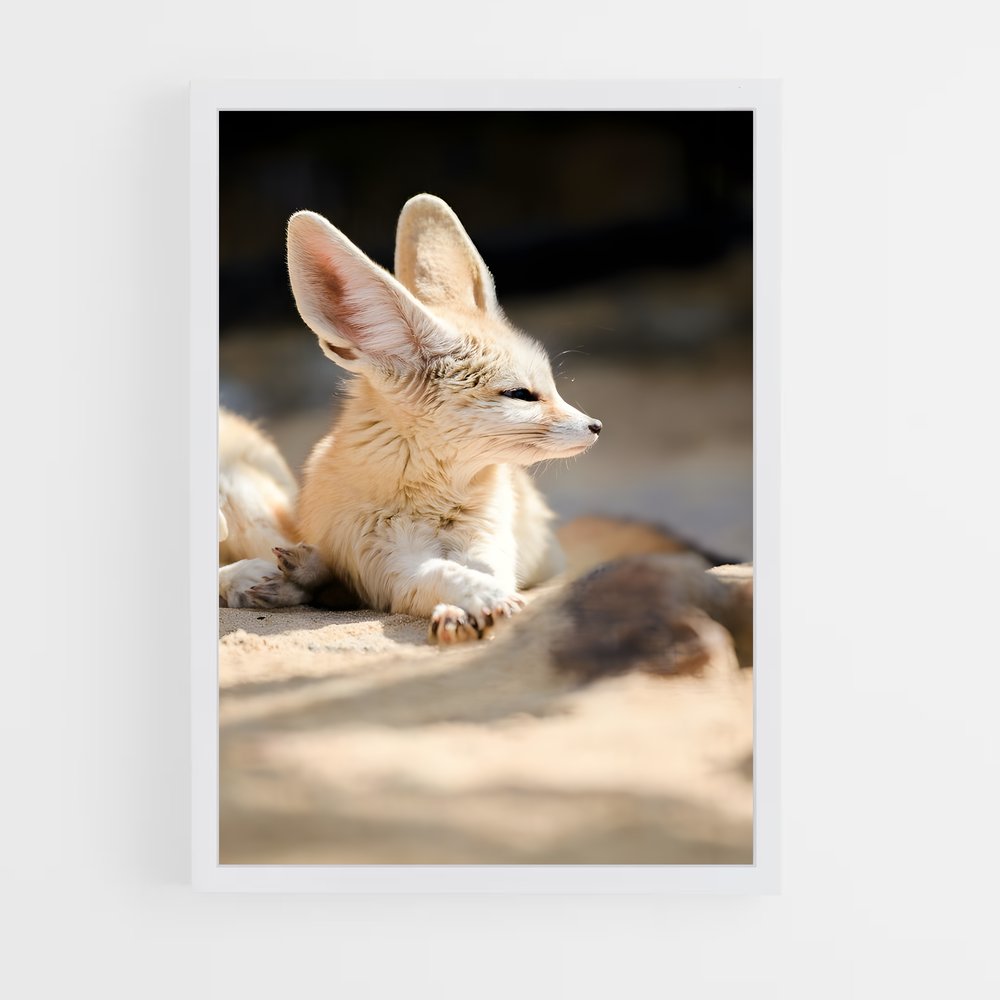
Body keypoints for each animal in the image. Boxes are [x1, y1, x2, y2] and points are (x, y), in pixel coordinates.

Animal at [219, 194, 602, 643]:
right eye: (521, 395)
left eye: (552, 387)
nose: (596, 427)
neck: (436, 503)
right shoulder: (390, 564)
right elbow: (441, 573)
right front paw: (472, 602)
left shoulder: (488, 543)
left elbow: (488, 573)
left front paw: (483, 603)